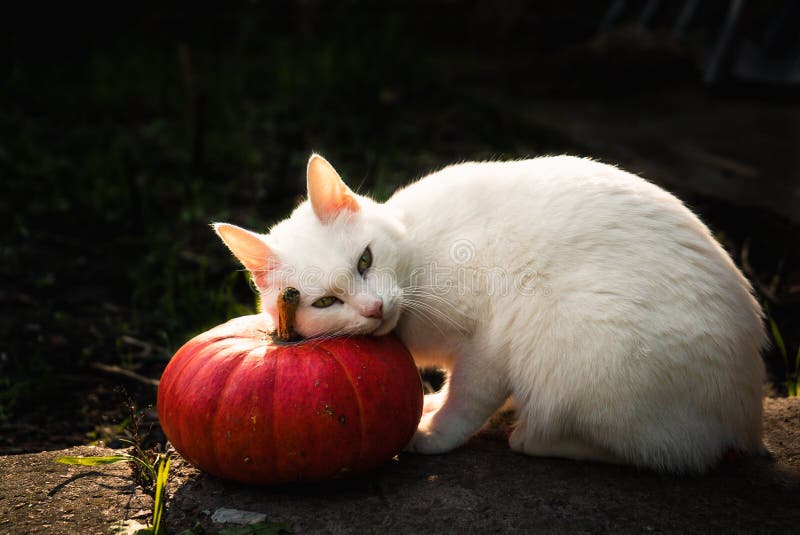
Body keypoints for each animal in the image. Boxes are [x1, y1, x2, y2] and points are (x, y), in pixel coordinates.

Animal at [214, 154, 768, 474]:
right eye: (325, 302)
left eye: (365, 260)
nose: (374, 309)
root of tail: (749, 415)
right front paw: (430, 406)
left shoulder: (492, 340)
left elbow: (468, 398)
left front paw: (434, 433)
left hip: (571, 343)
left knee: (677, 454)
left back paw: (536, 437)